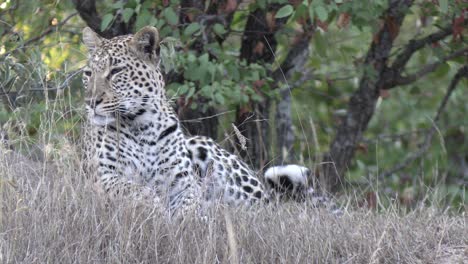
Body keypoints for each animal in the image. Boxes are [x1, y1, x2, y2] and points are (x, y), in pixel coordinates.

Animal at [80, 24, 328, 216]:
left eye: (116, 71)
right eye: (88, 74)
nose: (91, 101)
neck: (141, 125)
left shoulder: (184, 182)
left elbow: (191, 202)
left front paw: (191, 218)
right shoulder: (103, 176)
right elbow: (135, 190)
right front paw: (157, 210)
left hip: (202, 146)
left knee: (265, 211)